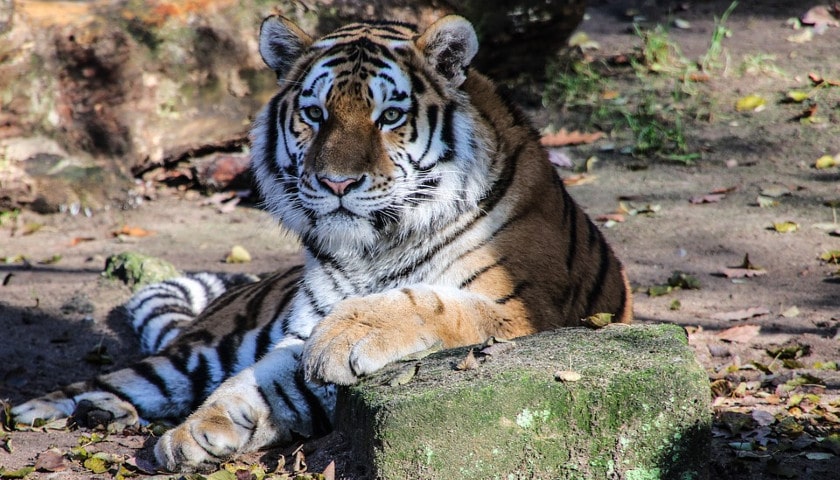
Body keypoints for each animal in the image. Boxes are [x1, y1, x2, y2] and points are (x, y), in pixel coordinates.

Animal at [13, 14, 632, 472]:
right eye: (314, 113)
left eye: (390, 116)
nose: (337, 183)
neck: (377, 246)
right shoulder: (297, 333)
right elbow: (254, 383)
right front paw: (198, 432)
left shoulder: (527, 312)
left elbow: (435, 302)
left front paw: (355, 329)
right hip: (200, 350)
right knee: (128, 379)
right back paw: (47, 409)